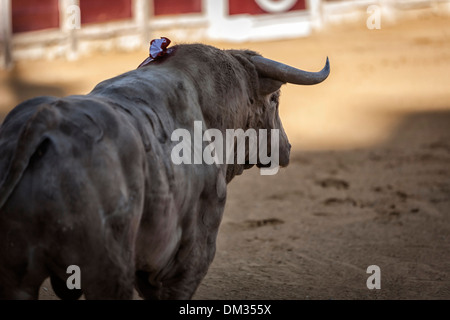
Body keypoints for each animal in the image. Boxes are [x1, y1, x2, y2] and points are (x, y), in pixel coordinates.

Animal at [0, 43, 326, 298]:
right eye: (275, 100)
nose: (287, 148)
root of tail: (47, 120)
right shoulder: (193, 250)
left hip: (18, 279)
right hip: (107, 270)